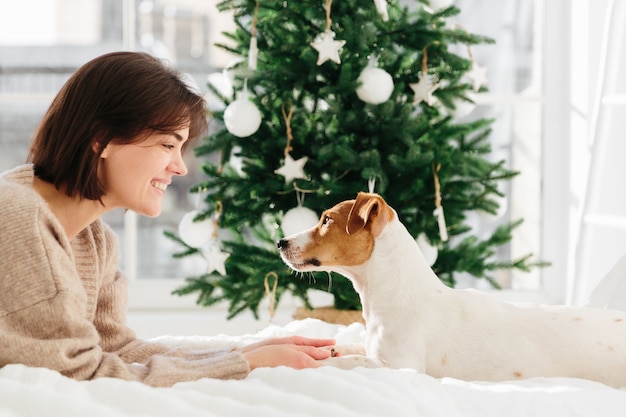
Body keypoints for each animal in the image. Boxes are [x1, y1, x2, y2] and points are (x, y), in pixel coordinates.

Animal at [278, 192, 624, 386]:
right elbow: (352, 348)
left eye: (326, 220)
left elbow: (348, 361)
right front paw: (333, 348)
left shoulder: (402, 366)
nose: (280, 241)